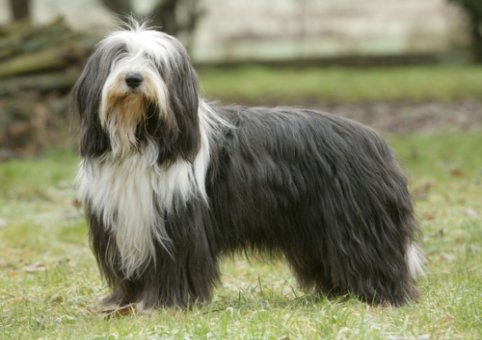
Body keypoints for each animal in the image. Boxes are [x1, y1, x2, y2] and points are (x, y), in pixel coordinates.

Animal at [71, 19, 422, 310]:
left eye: (156, 63)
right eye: (120, 56)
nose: (133, 78)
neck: (142, 140)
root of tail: (375, 140)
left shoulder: (177, 223)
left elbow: (174, 266)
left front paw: (164, 304)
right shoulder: (124, 222)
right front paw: (124, 302)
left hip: (357, 222)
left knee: (374, 258)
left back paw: (382, 295)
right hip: (316, 228)